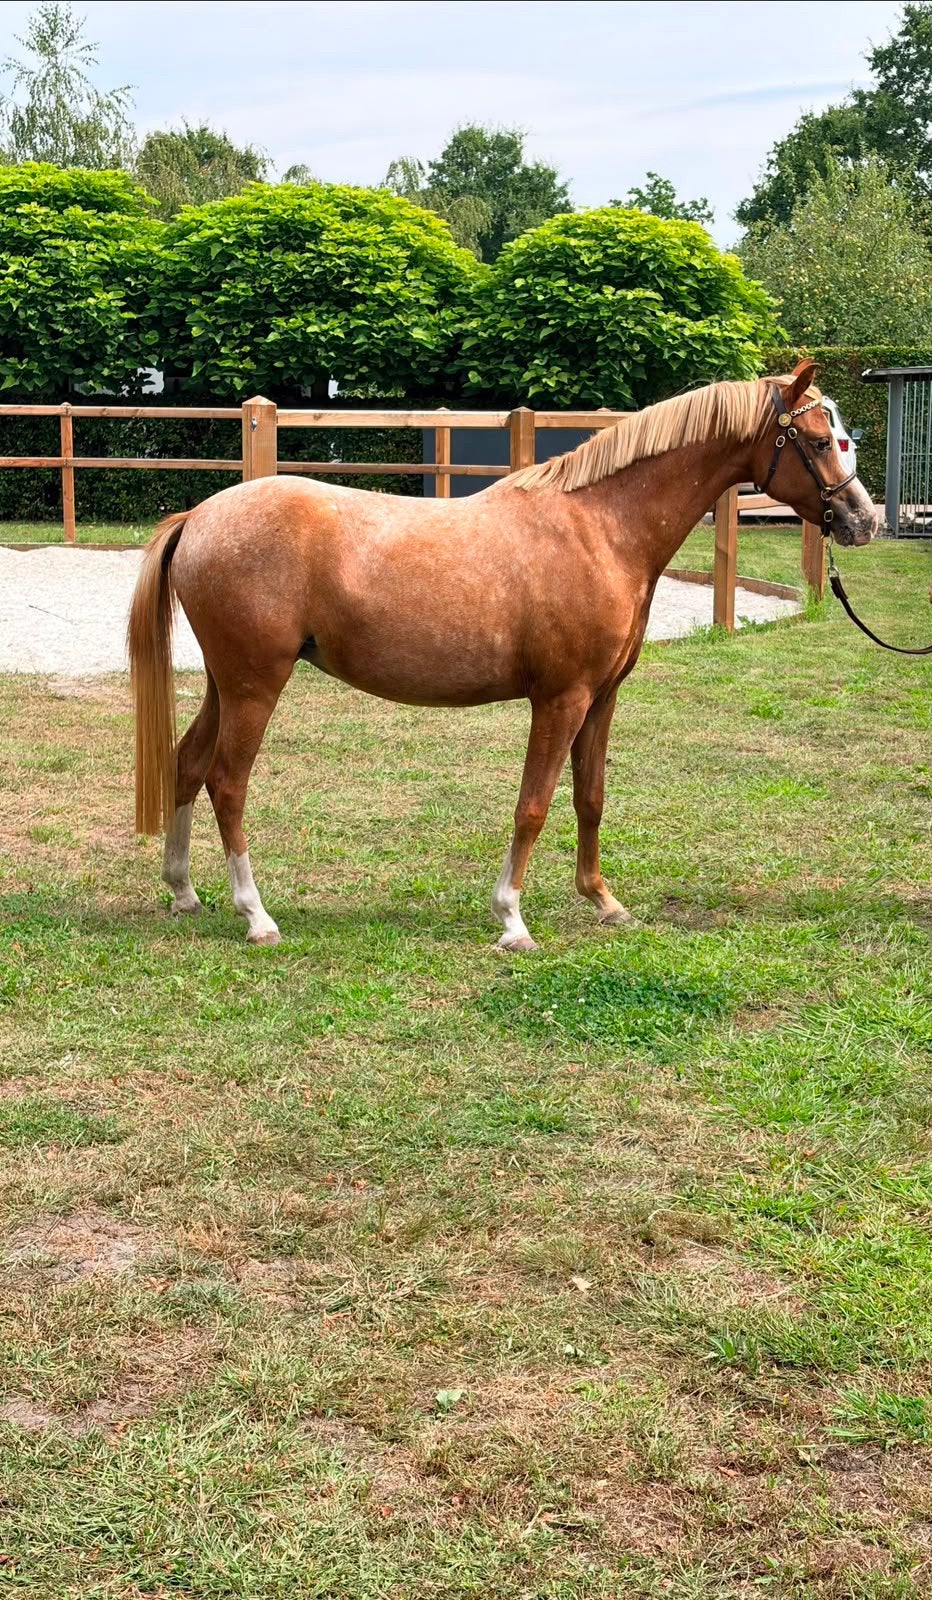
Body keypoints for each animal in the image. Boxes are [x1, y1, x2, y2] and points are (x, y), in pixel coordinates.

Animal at [127, 360, 875, 949]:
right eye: (818, 441)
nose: (862, 520)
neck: (600, 527)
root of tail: (199, 517)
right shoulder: (561, 699)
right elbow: (533, 805)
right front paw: (512, 920)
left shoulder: (602, 697)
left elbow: (590, 797)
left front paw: (604, 901)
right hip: (255, 687)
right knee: (228, 782)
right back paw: (256, 915)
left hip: (228, 685)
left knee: (187, 764)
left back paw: (185, 892)